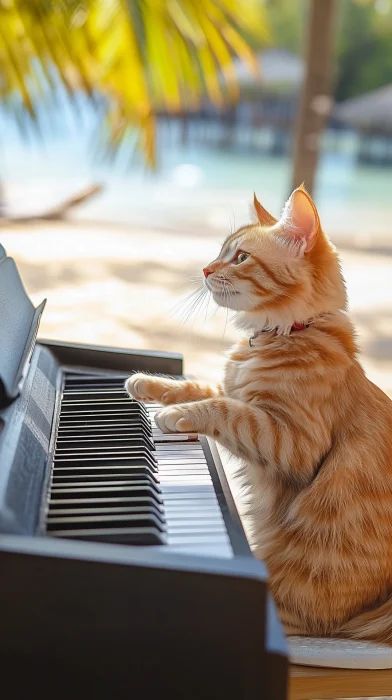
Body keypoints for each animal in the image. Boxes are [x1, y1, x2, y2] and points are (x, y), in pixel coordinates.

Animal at [125, 187, 392, 644]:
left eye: (241, 258)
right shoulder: (233, 388)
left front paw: (173, 415)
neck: (277, 335)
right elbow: (201, 387)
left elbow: (223, 409)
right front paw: (149, 385)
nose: (205, 268)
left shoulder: (293, 440)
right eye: (220, 253)